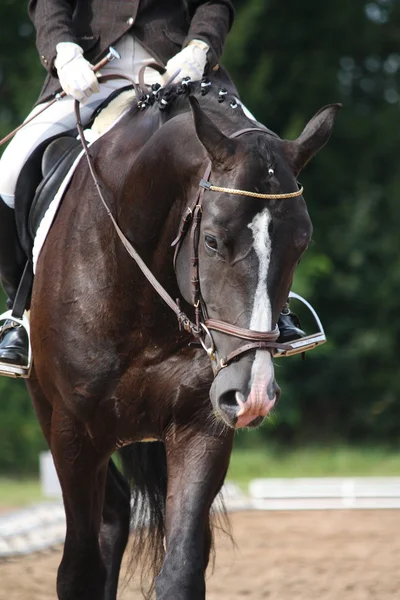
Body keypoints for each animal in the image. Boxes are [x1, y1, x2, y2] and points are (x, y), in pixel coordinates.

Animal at [25, 77, 340, 596]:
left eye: (302, 244)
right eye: (211, 240)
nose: (253, 392)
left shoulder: (201, 425)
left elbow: (181, 568)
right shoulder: (73, 435)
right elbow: (77, 571)